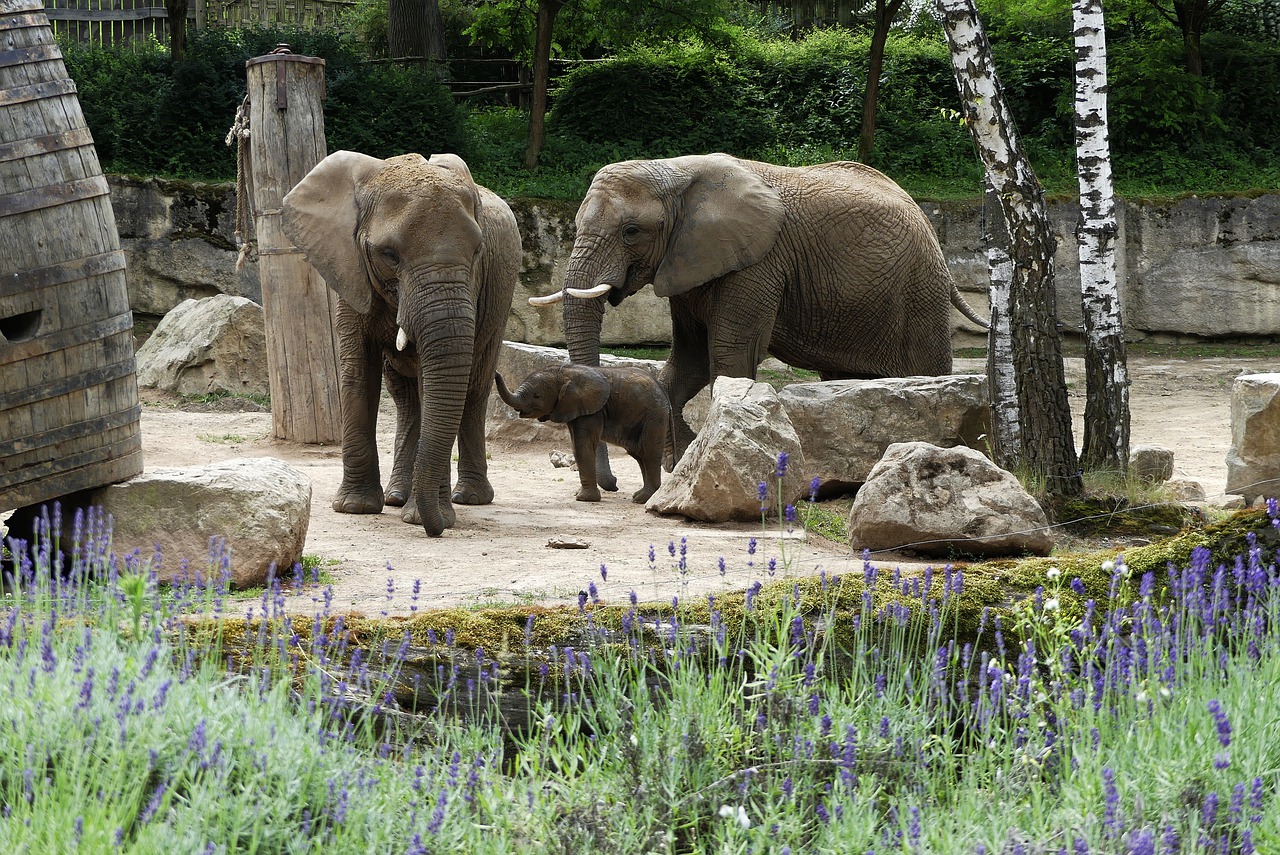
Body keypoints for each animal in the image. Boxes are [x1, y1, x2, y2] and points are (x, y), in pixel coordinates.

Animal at [281, 150, 520, 537]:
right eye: (389, 255)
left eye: (477, 252)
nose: (436, 531)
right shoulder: (349, 268)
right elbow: (358, 373)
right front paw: (356, 509)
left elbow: (434, 376)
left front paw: (424, 518)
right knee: (406, 397)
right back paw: (396, 497)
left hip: (501, 293)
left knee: (474, 387)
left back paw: (468, 499)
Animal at [494, 363, 672, 503]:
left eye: (536, 395)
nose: (495, 372)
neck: (563, 372)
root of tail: (663, 391)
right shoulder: (574, 409)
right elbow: (575, 445)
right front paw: (580, 495)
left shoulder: (592, 410)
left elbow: (582, 446)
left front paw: (584, 498)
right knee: (639, 454)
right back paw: (640, 496)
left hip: (654, 415)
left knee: (648, 452)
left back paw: (643, 499)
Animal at [530, 153, 988, 490]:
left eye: (631, 231)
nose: (608, 485)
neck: (677, 172)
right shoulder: (688, 263)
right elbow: (687, 364)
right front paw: (681, 463)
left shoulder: (759, 263)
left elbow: (727, 357)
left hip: (920, 293)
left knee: (926, 371)